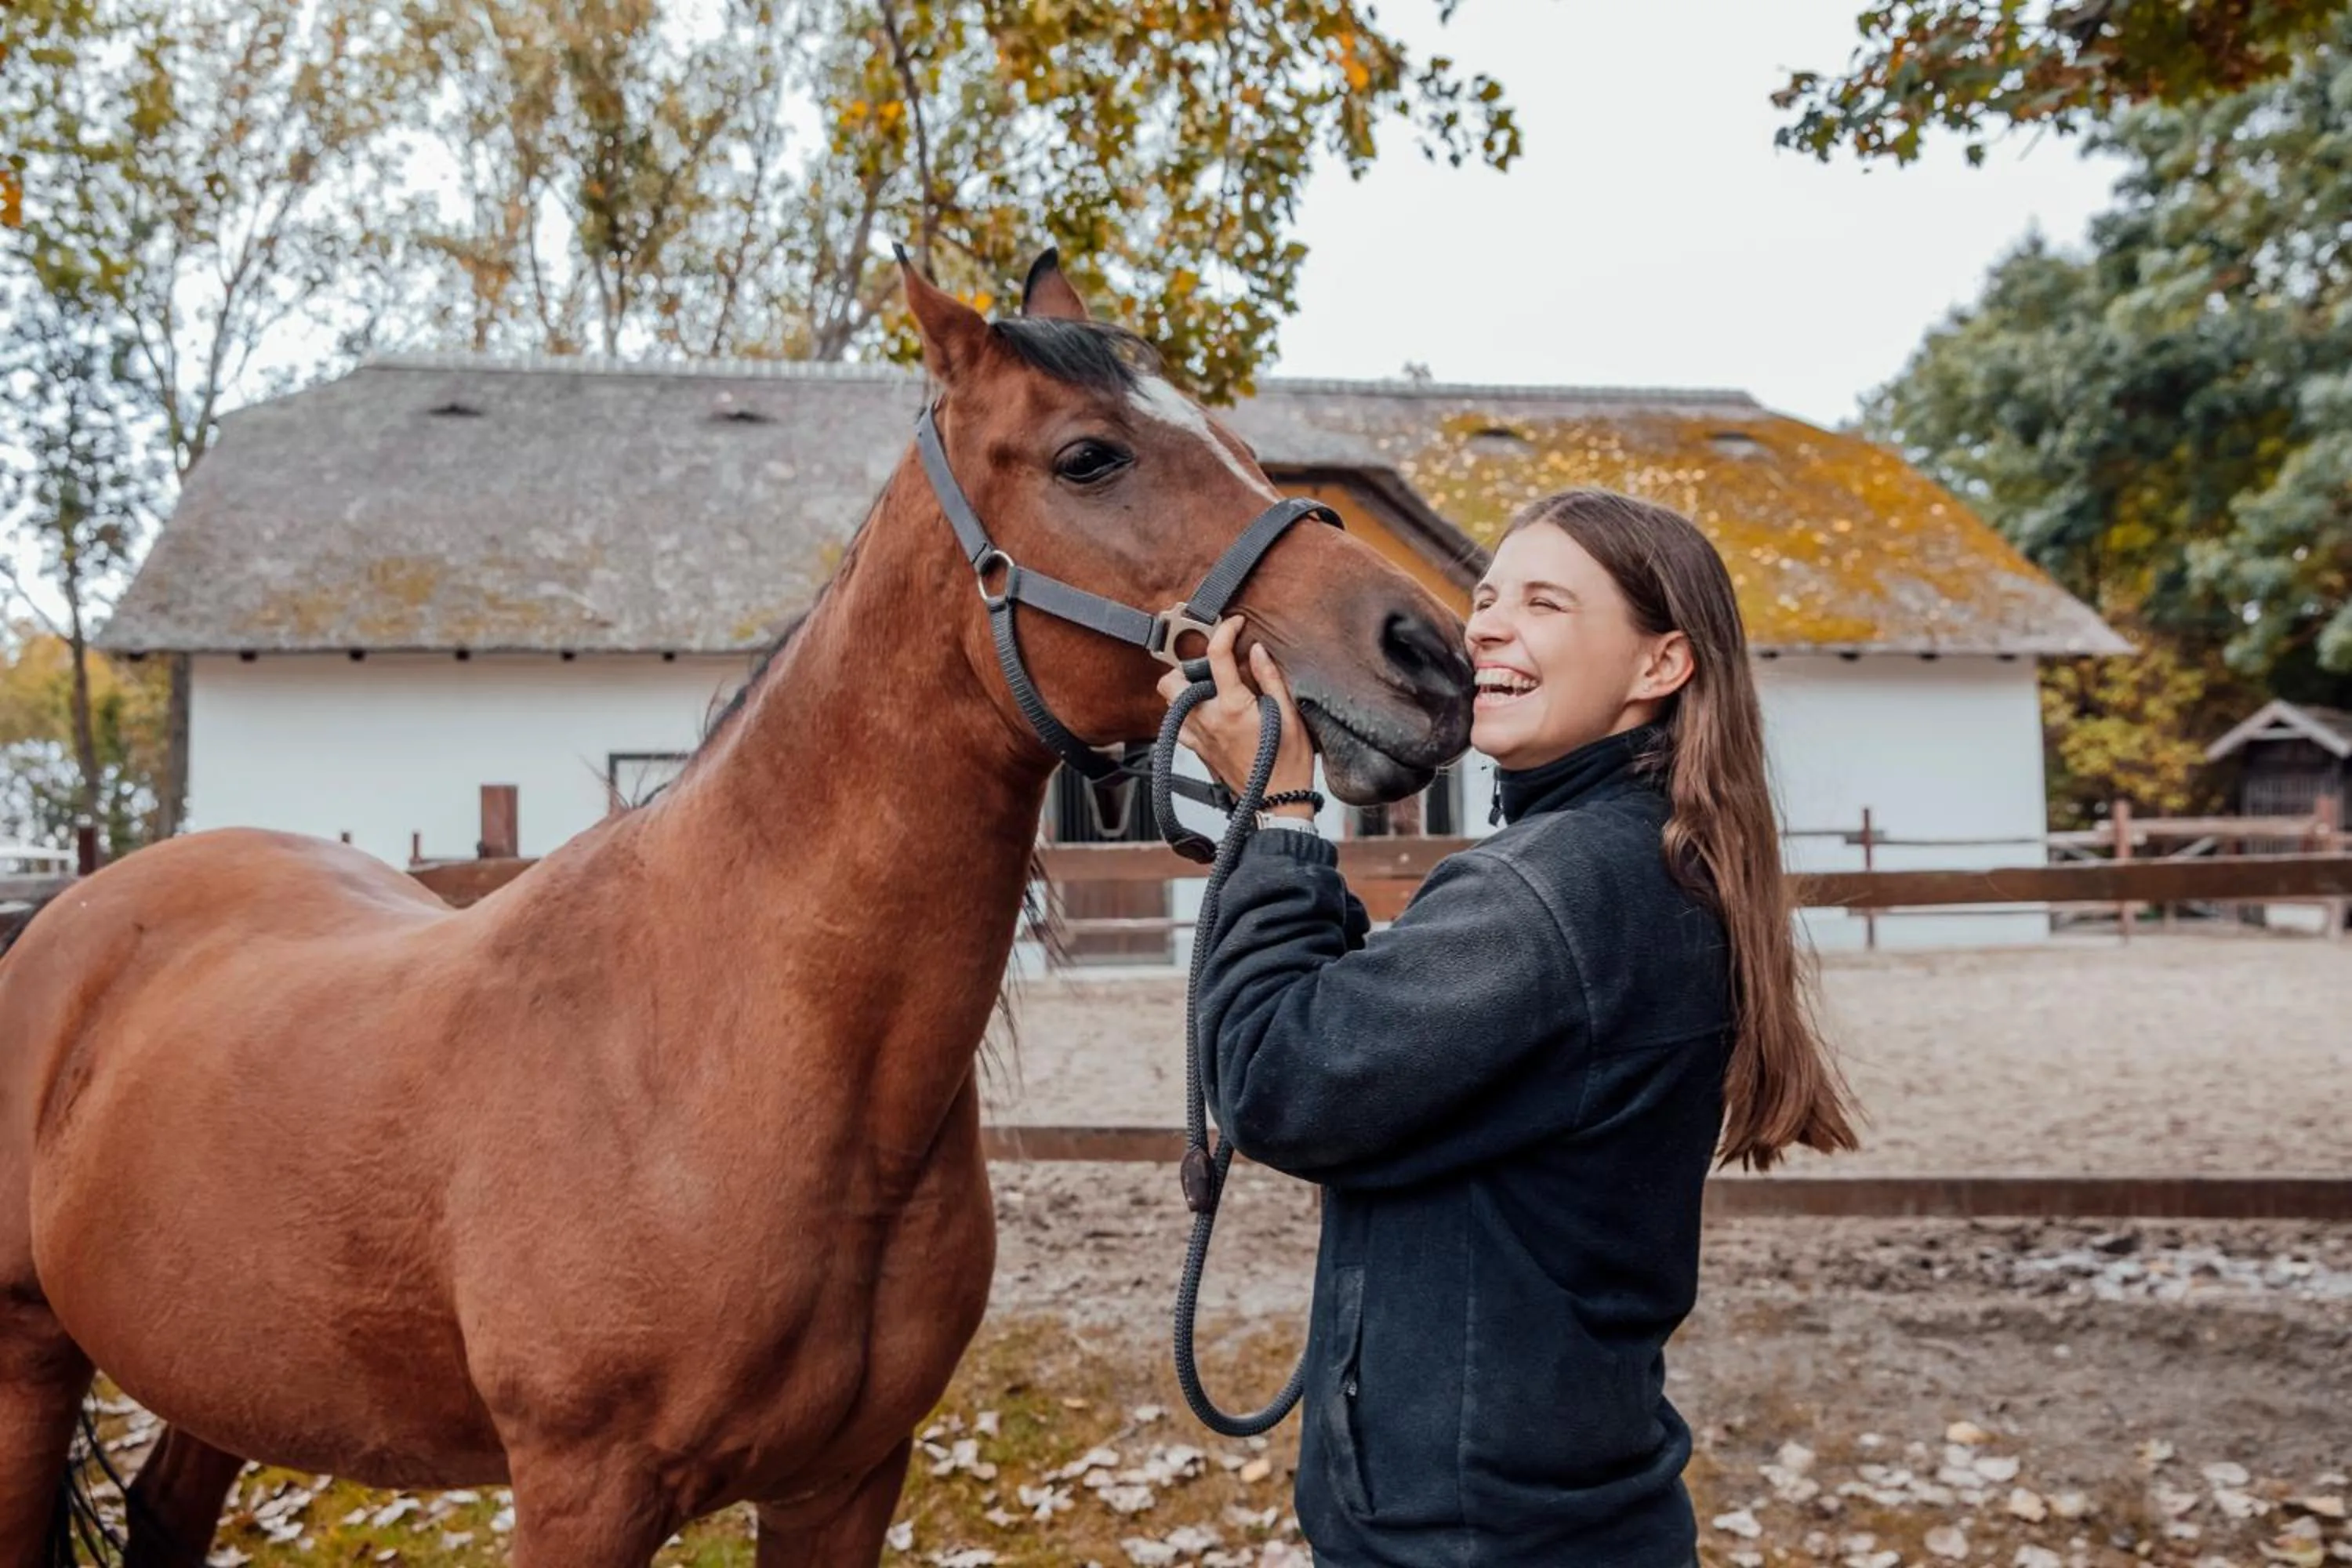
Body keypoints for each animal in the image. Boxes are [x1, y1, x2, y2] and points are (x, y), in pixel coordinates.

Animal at [0, 253, 1474, 1567]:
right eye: (1088, 458)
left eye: (1239, 445)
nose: (1430, 655)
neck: (723, 1048)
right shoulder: (582, 1495)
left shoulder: (847, 1482)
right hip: (33, 1359)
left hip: (224, 1368)